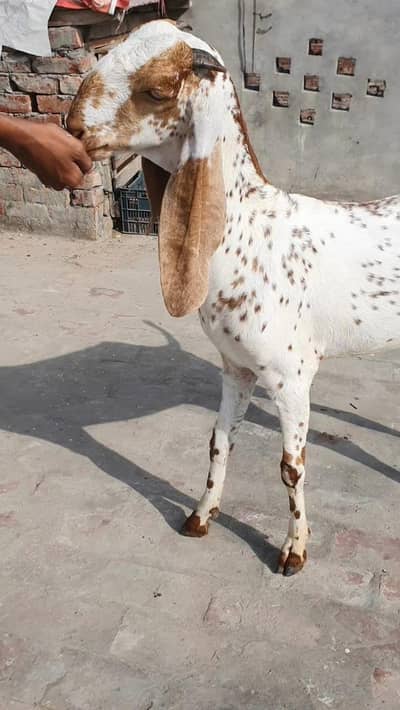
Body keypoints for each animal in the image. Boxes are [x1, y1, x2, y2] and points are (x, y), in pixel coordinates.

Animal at [67, 20, 400, 575]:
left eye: (158, 89)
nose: (72, 127)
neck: (250, 231)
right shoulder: (236, 368)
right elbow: (218, 443)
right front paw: (201, 515)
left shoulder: (292, 377)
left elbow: (291, 467)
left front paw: (295, 548)